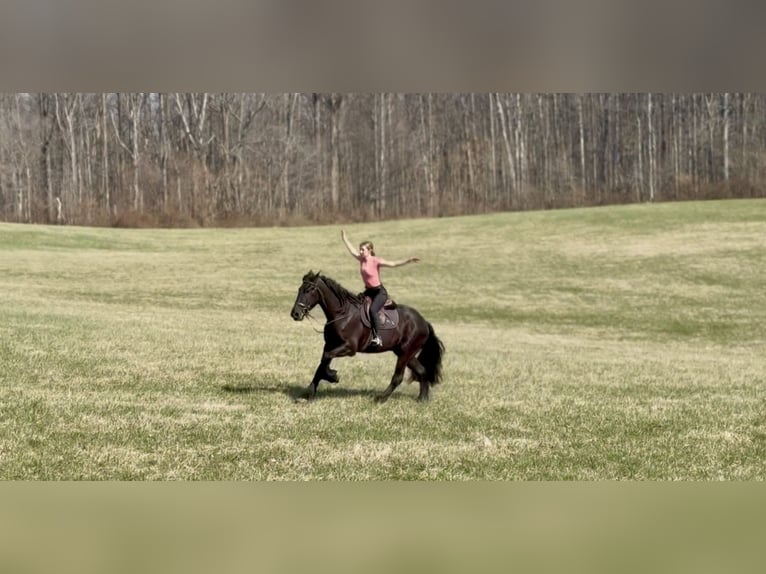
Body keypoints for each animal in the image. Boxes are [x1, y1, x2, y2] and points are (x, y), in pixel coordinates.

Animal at [290, 271, 445, 403]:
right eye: (299, 289)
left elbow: (326, 358)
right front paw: (309, 393)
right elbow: (322, 363)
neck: (342, 314)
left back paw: (380, 398)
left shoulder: (349, 348)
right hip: (406, 353)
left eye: (309, 290)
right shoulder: (330, 345)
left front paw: (332, 376)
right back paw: (422, 399)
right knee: (422, 371)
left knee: (398, 377)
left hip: (405, 353)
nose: (295, 314)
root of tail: (424, 322)